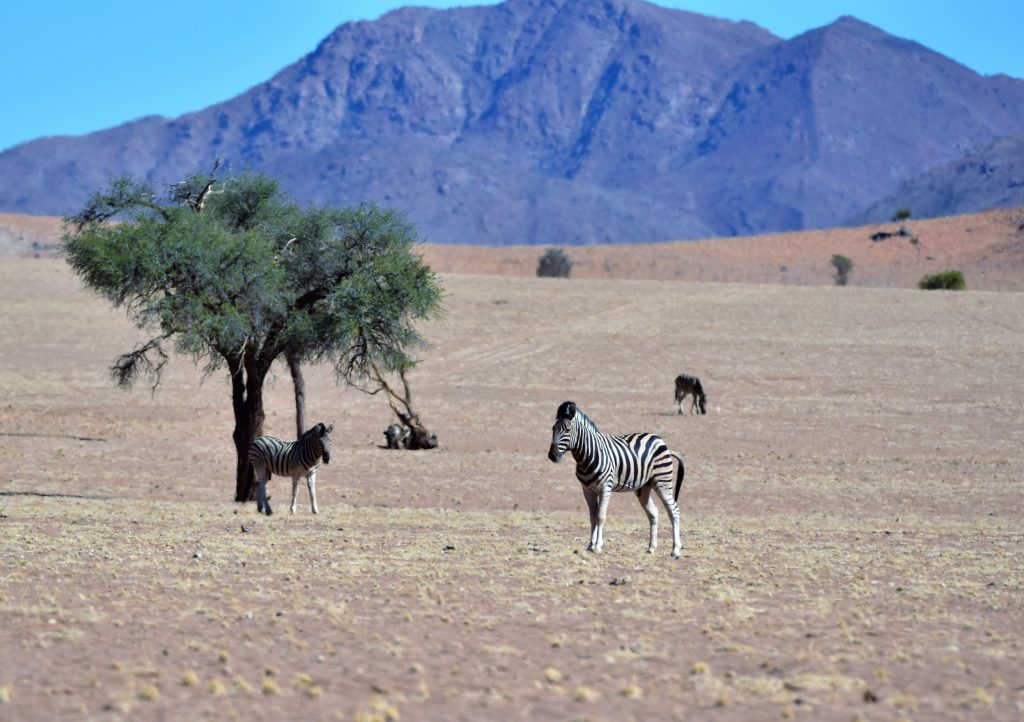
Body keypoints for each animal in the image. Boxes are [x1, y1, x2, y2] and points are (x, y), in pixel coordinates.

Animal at [548, 399, 684, 557]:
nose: (552, 455)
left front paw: (598, 546)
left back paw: (675, 550)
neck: (587, 455)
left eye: (568, 430)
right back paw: (651, 548)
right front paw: (590, 545)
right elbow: (592, 517)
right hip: (643, 488)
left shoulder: (605, 488)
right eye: (553, 429)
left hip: (662, 481)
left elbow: (601, 517)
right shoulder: (587, 490)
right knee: (653, 513)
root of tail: (660, 441)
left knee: (674, 511)